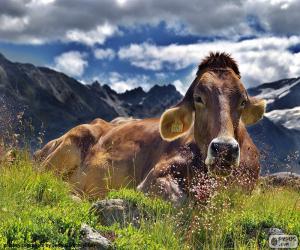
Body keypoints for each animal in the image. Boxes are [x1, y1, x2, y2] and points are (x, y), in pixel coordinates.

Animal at [34, 52, 266, 203]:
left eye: (242, 101)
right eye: (198, 98)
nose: (224, 149)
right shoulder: (153, 177)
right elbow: (174, 198)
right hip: (68, 145)